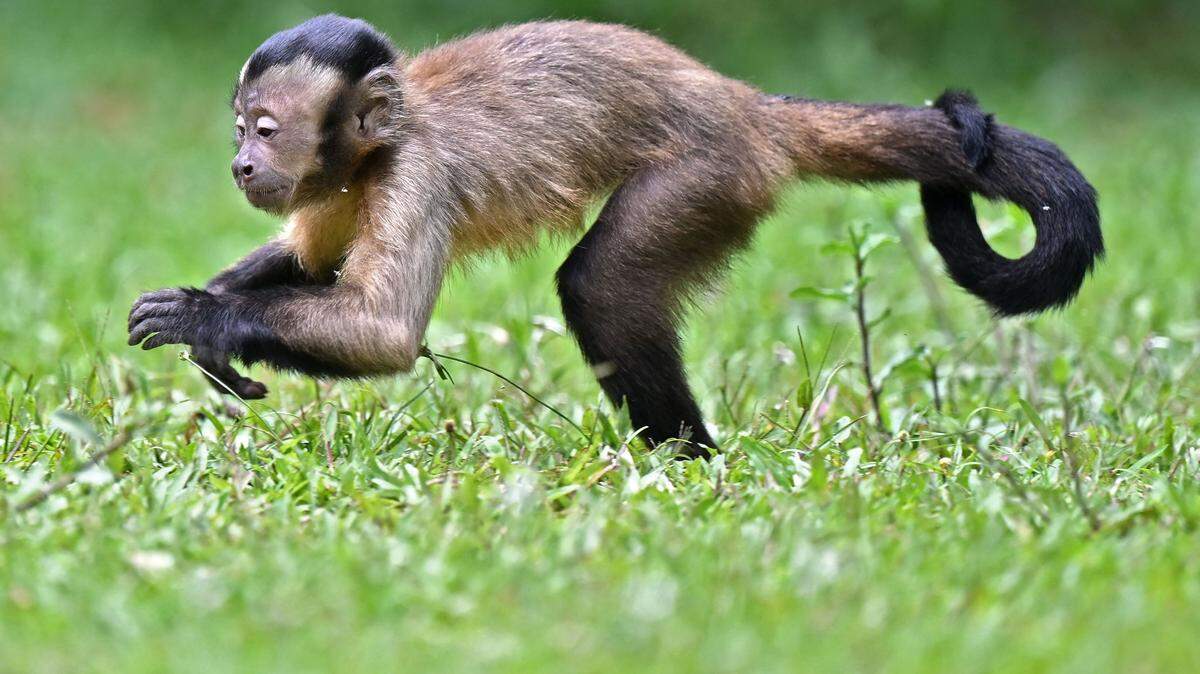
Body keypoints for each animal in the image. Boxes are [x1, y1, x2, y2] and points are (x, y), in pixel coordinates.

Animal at [128, 15, 1103, 458]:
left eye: (264, 128)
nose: (240, 164)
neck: (379, 146)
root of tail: (746, 104)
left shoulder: (412, 177)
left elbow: (383, 331)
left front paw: (208, 321)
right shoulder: (338, 186)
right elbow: (305, 257)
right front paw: (219, 313)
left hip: (711, 172)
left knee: (602, 284)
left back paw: (685, 458)